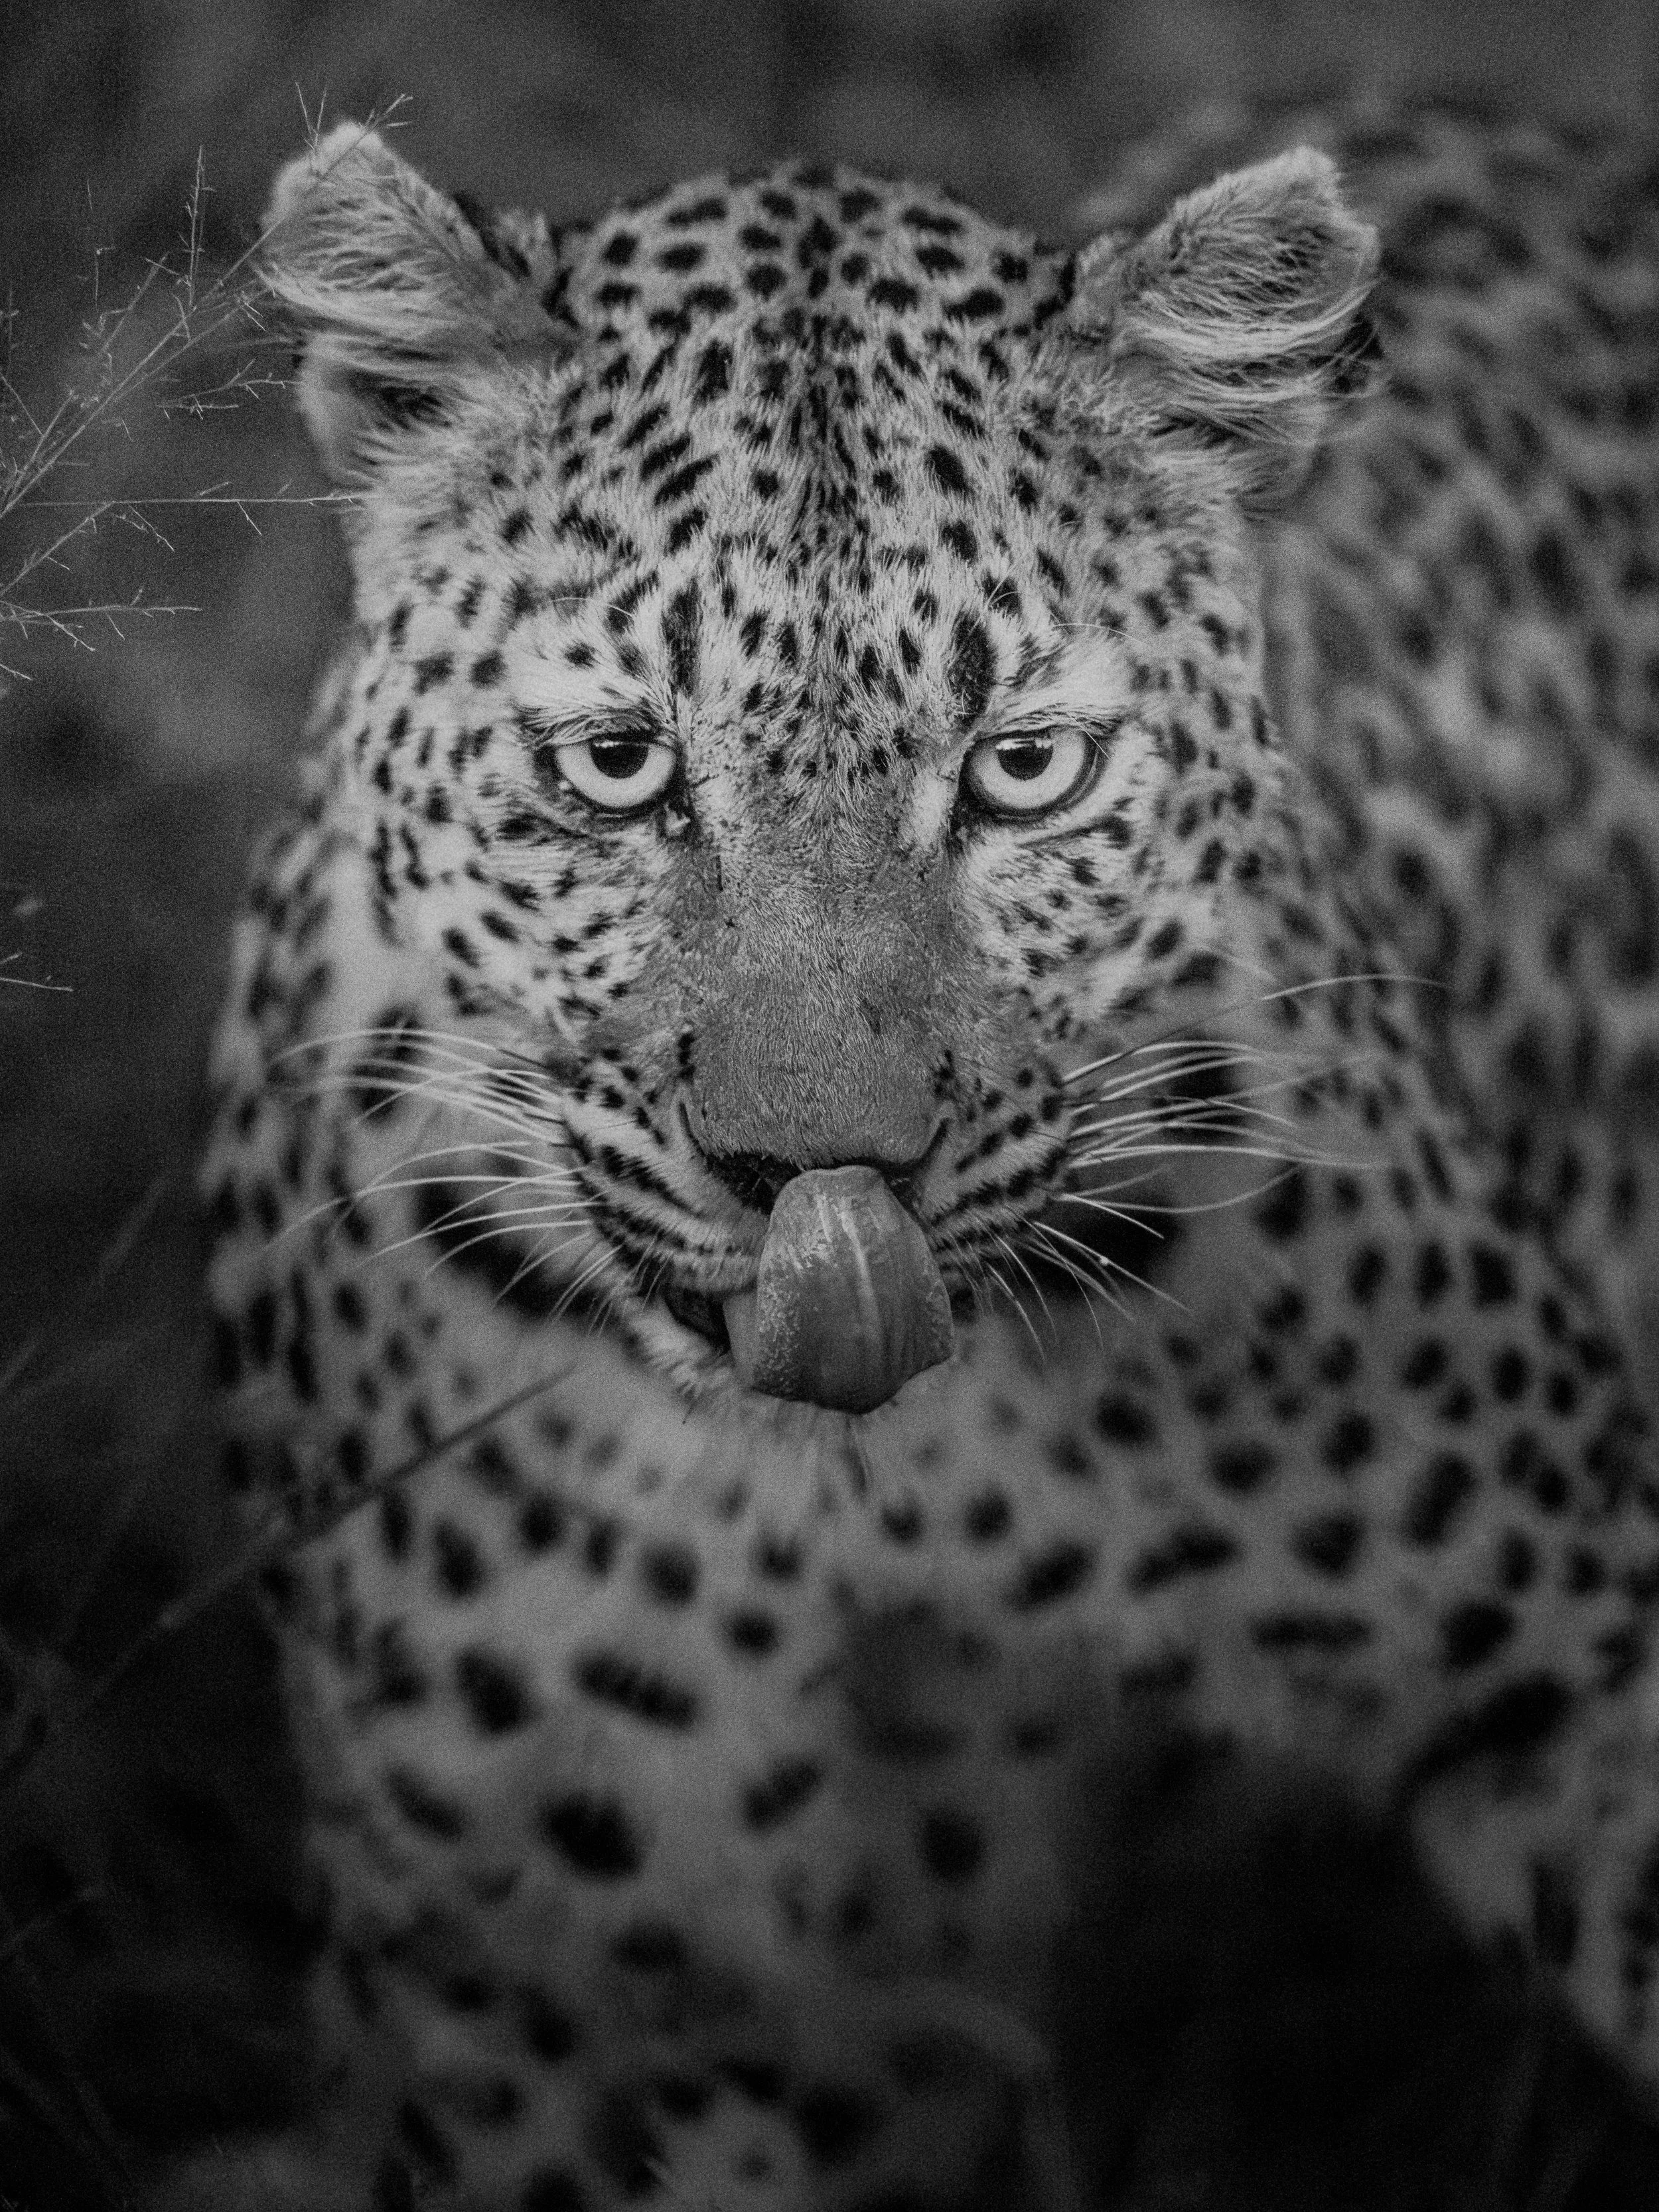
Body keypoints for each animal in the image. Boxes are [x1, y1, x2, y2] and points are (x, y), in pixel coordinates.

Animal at [188, 100, 1659, 2211]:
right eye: (620, 765)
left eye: (1023, 770)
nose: (816, 1178)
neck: (876, 1492)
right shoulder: (549, 1981)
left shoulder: (1580, 1677)